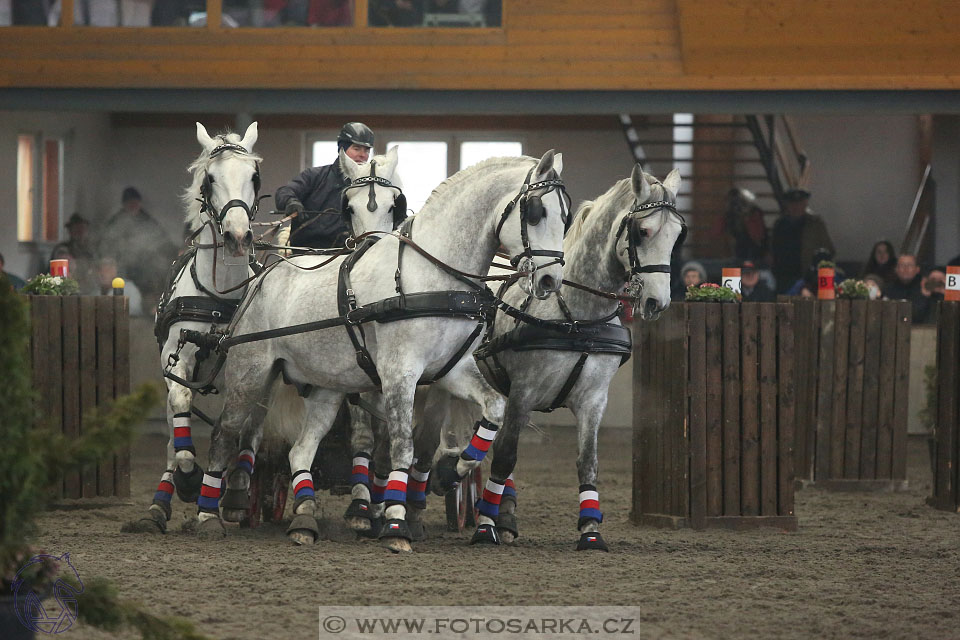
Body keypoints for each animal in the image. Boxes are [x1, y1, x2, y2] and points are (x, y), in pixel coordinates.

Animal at [198, 151, 568, 552]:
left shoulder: (452, 370)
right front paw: (395, 524)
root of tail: (264, 275)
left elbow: (492, 411)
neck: (432, 276)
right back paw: (209, 515)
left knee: (300, 449)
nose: (550, 280)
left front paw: (449, 472)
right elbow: (402, 448)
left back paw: (304, 519)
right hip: (250, 371)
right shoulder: (399, 372)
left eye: (565, 216)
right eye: (536, 211)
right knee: (226, 434)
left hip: (327, 387)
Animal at [414, 166, 684, 552]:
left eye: (678, 234)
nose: (656, 302)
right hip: (444, 386)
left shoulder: (593, 400)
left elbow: (587, 462)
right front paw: (484, 526)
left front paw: (590, 530)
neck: (575, 318)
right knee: (427, 446)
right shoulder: (523, 392)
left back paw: (500, 511)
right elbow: (505, 455)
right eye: (643, 231)